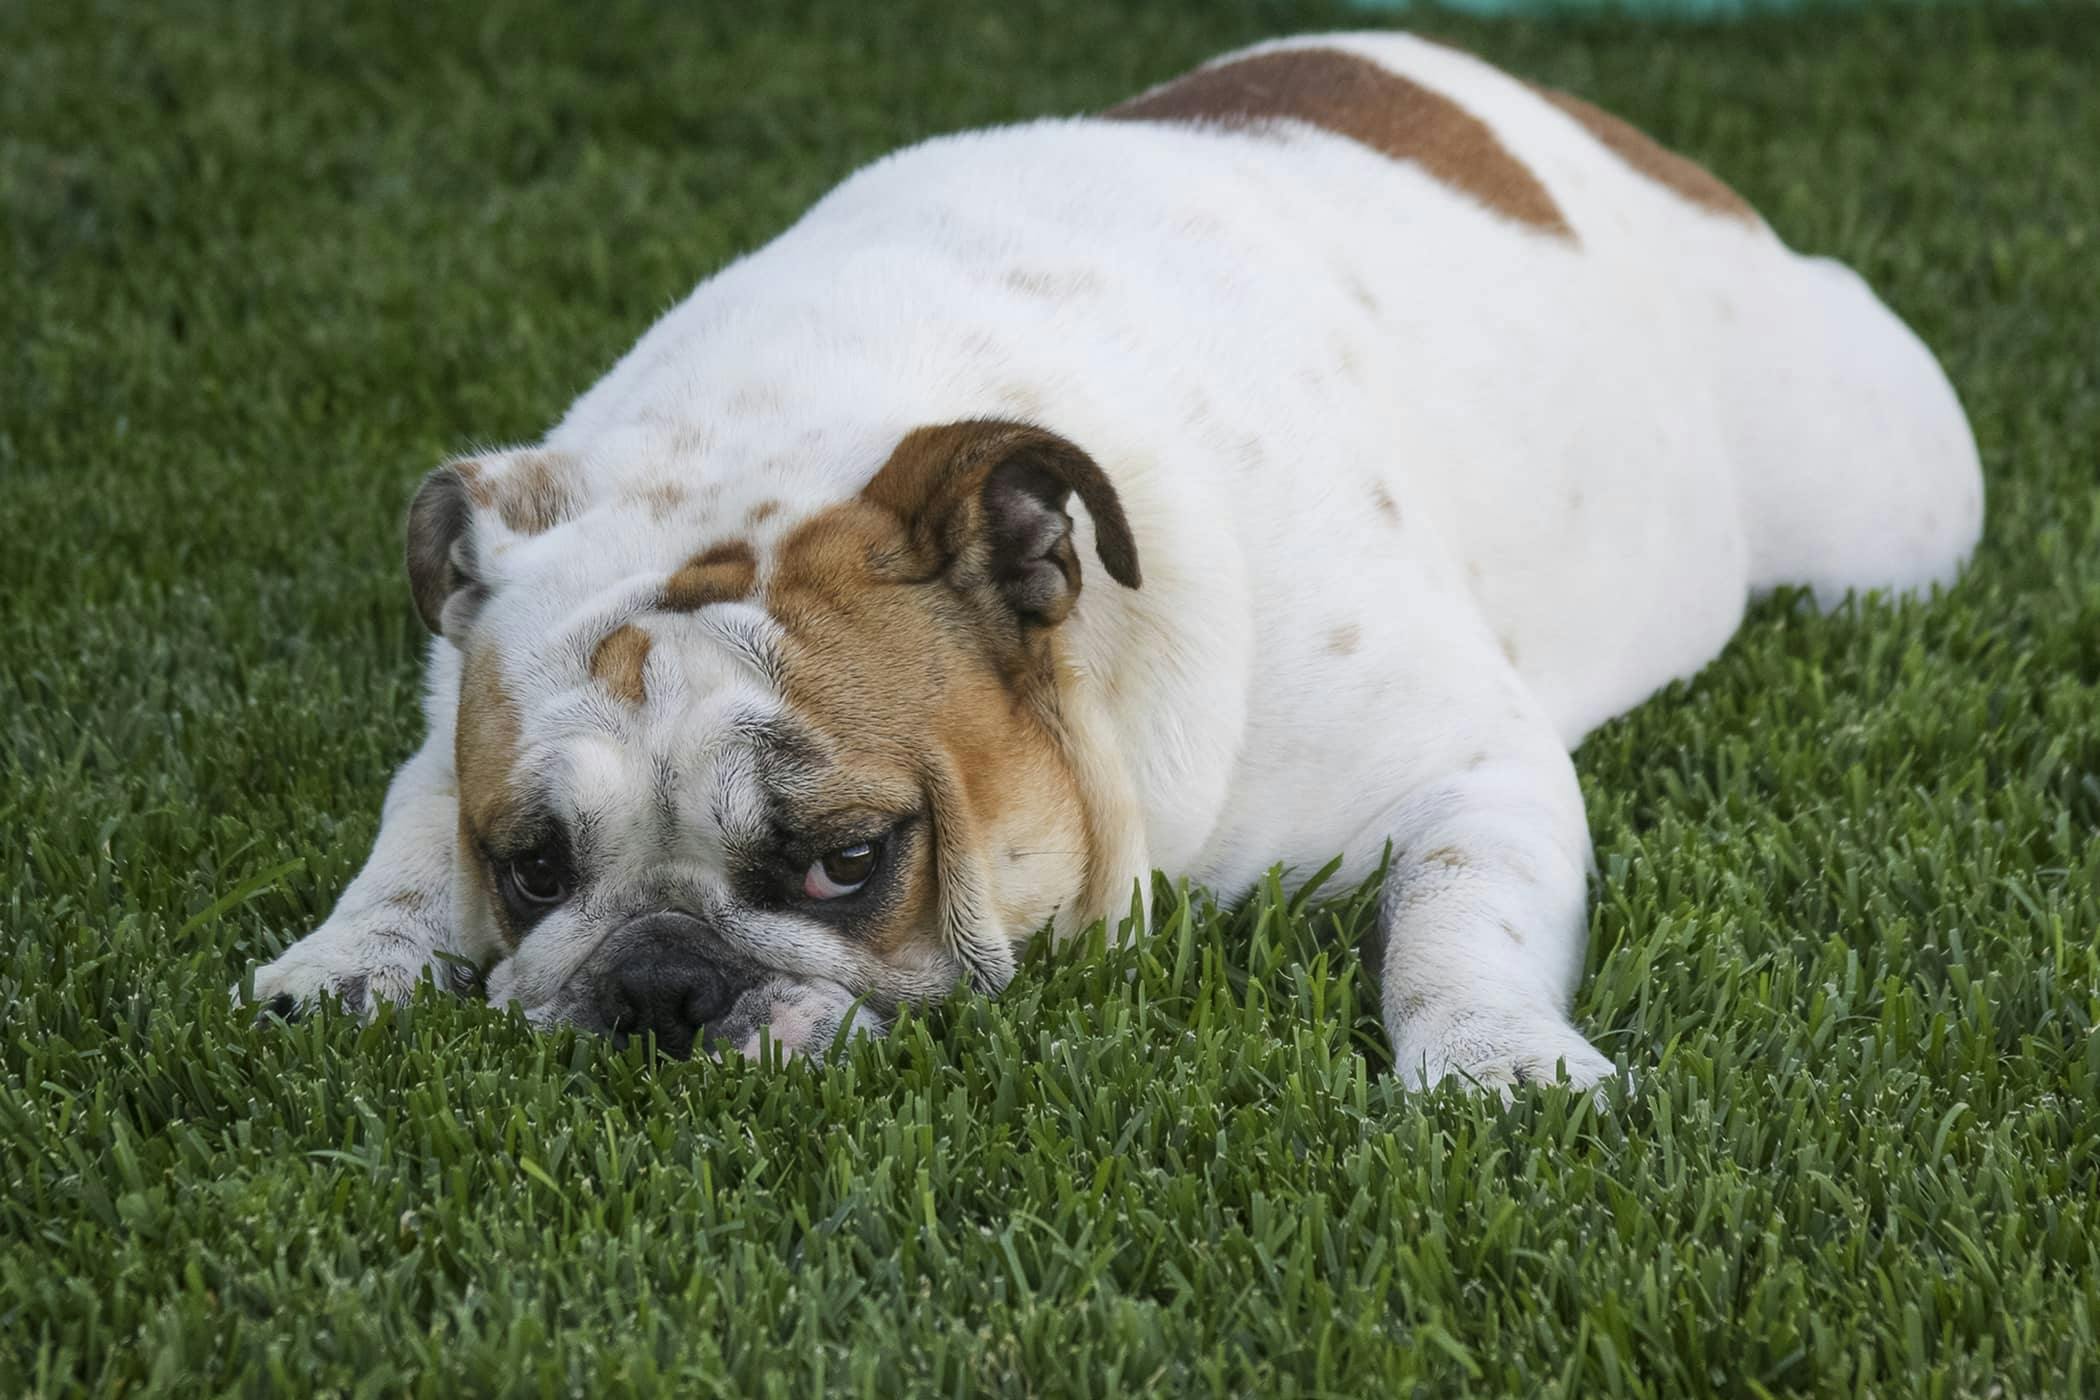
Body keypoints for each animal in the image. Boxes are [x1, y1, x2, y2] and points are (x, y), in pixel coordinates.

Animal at [238, 32, 1973, 1091]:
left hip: (1901, 516)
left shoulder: (1474, 768)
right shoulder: (451, 726)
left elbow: (1457, 913)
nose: (659, 986)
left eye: (847, 861)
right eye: (533, 867)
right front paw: (344, 960)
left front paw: (1490, 1059)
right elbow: (403, 843)